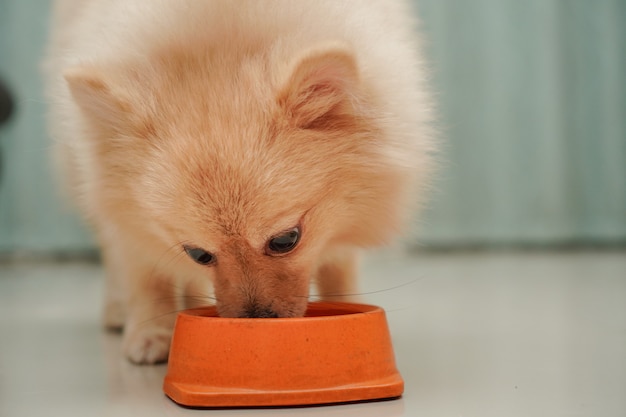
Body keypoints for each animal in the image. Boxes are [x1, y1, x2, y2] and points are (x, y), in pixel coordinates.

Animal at [45, 0, 434, 362]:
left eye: (285, 241)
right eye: (199, 254)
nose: (256, 318)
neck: (221, 39)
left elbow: (338, 266)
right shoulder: (128, 212)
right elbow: (147, 274)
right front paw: (152, 332)